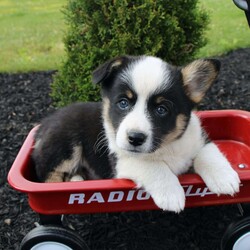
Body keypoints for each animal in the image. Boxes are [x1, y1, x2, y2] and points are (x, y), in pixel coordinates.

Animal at [33, 55, 240, 212]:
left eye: (162, 109)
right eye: (123, 103)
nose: (135, 138)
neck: (165, 146)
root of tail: (44, 124)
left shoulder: (198, 138)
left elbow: (208, 152)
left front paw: (225, 179)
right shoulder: (122, 161)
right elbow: (153, 167)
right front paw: (171, 194)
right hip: (65, 145)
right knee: (47, 175)